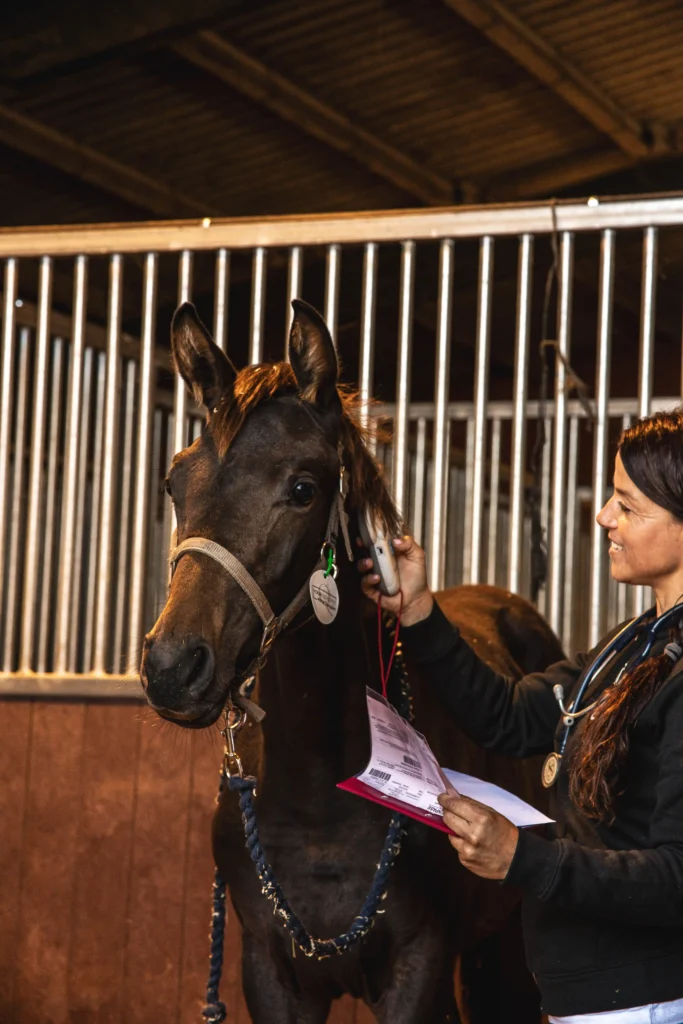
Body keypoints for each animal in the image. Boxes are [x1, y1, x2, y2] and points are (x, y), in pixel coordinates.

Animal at [140, 298, 565, 1024]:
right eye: (174, 483)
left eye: (303, 488)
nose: (172, 666)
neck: (319, 796)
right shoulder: (269, 973)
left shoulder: (418, 969)